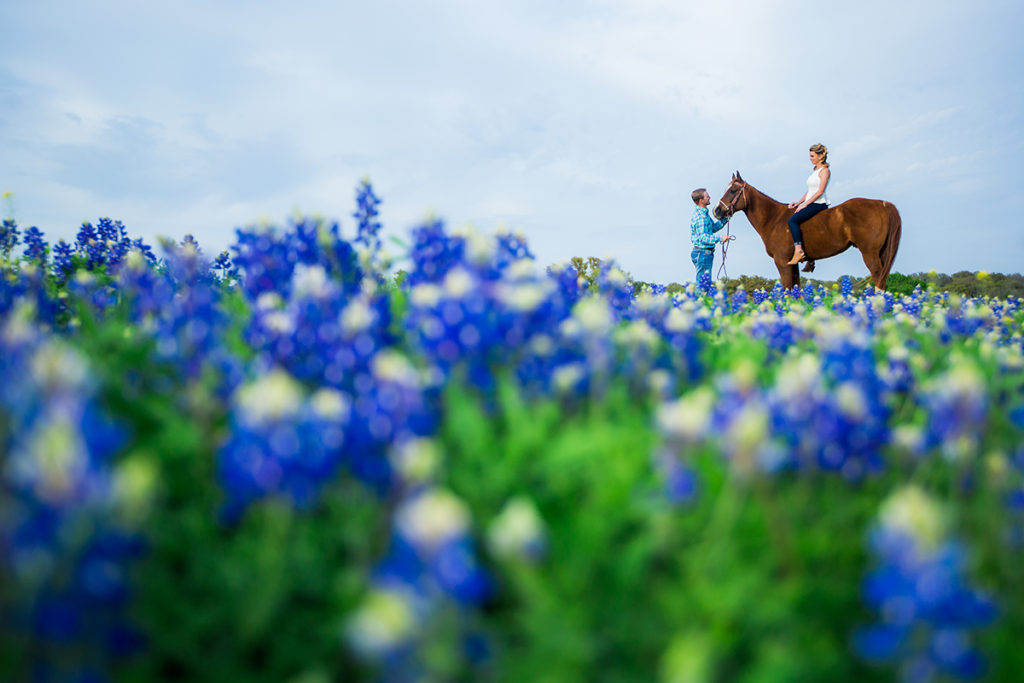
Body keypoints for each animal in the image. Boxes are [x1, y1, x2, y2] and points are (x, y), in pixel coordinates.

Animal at [716, 172, 901, 290]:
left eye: (733, 190)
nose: (717, 211)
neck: (773, 218)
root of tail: (882, 204)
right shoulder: (792, 264)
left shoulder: (782, 262)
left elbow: (788, 290)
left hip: (870, 254)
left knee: (879, 280)